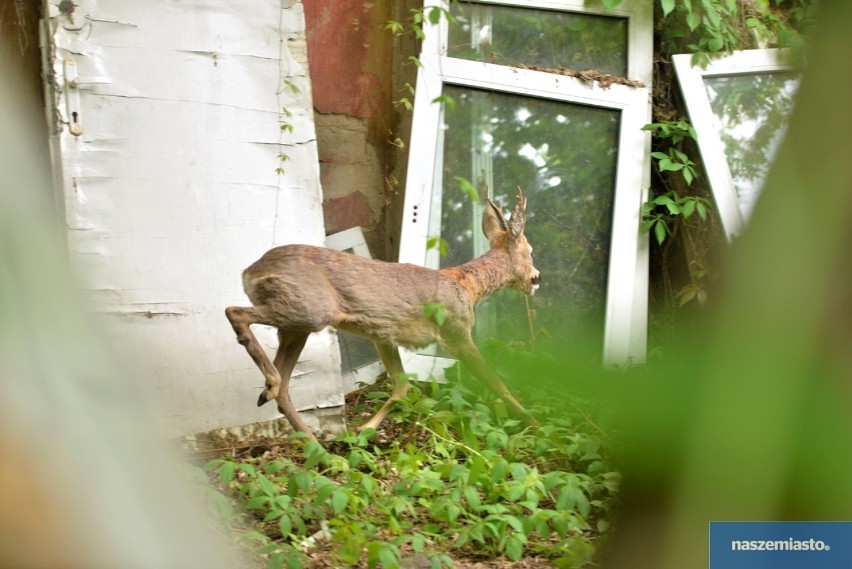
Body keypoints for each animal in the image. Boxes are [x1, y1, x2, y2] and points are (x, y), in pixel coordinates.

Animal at [225, 189, 540, 438]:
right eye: (530, 250)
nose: (536, 278)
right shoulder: (456, 331)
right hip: (309, 309)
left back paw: (314, 442)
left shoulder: (383, 336)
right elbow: (496, 382)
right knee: (234, 312)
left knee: (285, 387)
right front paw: (533, 421)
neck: (468, 287)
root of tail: (250, 272)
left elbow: (401, 386)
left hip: (296, 326)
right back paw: (272, 389)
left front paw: (363, 431)